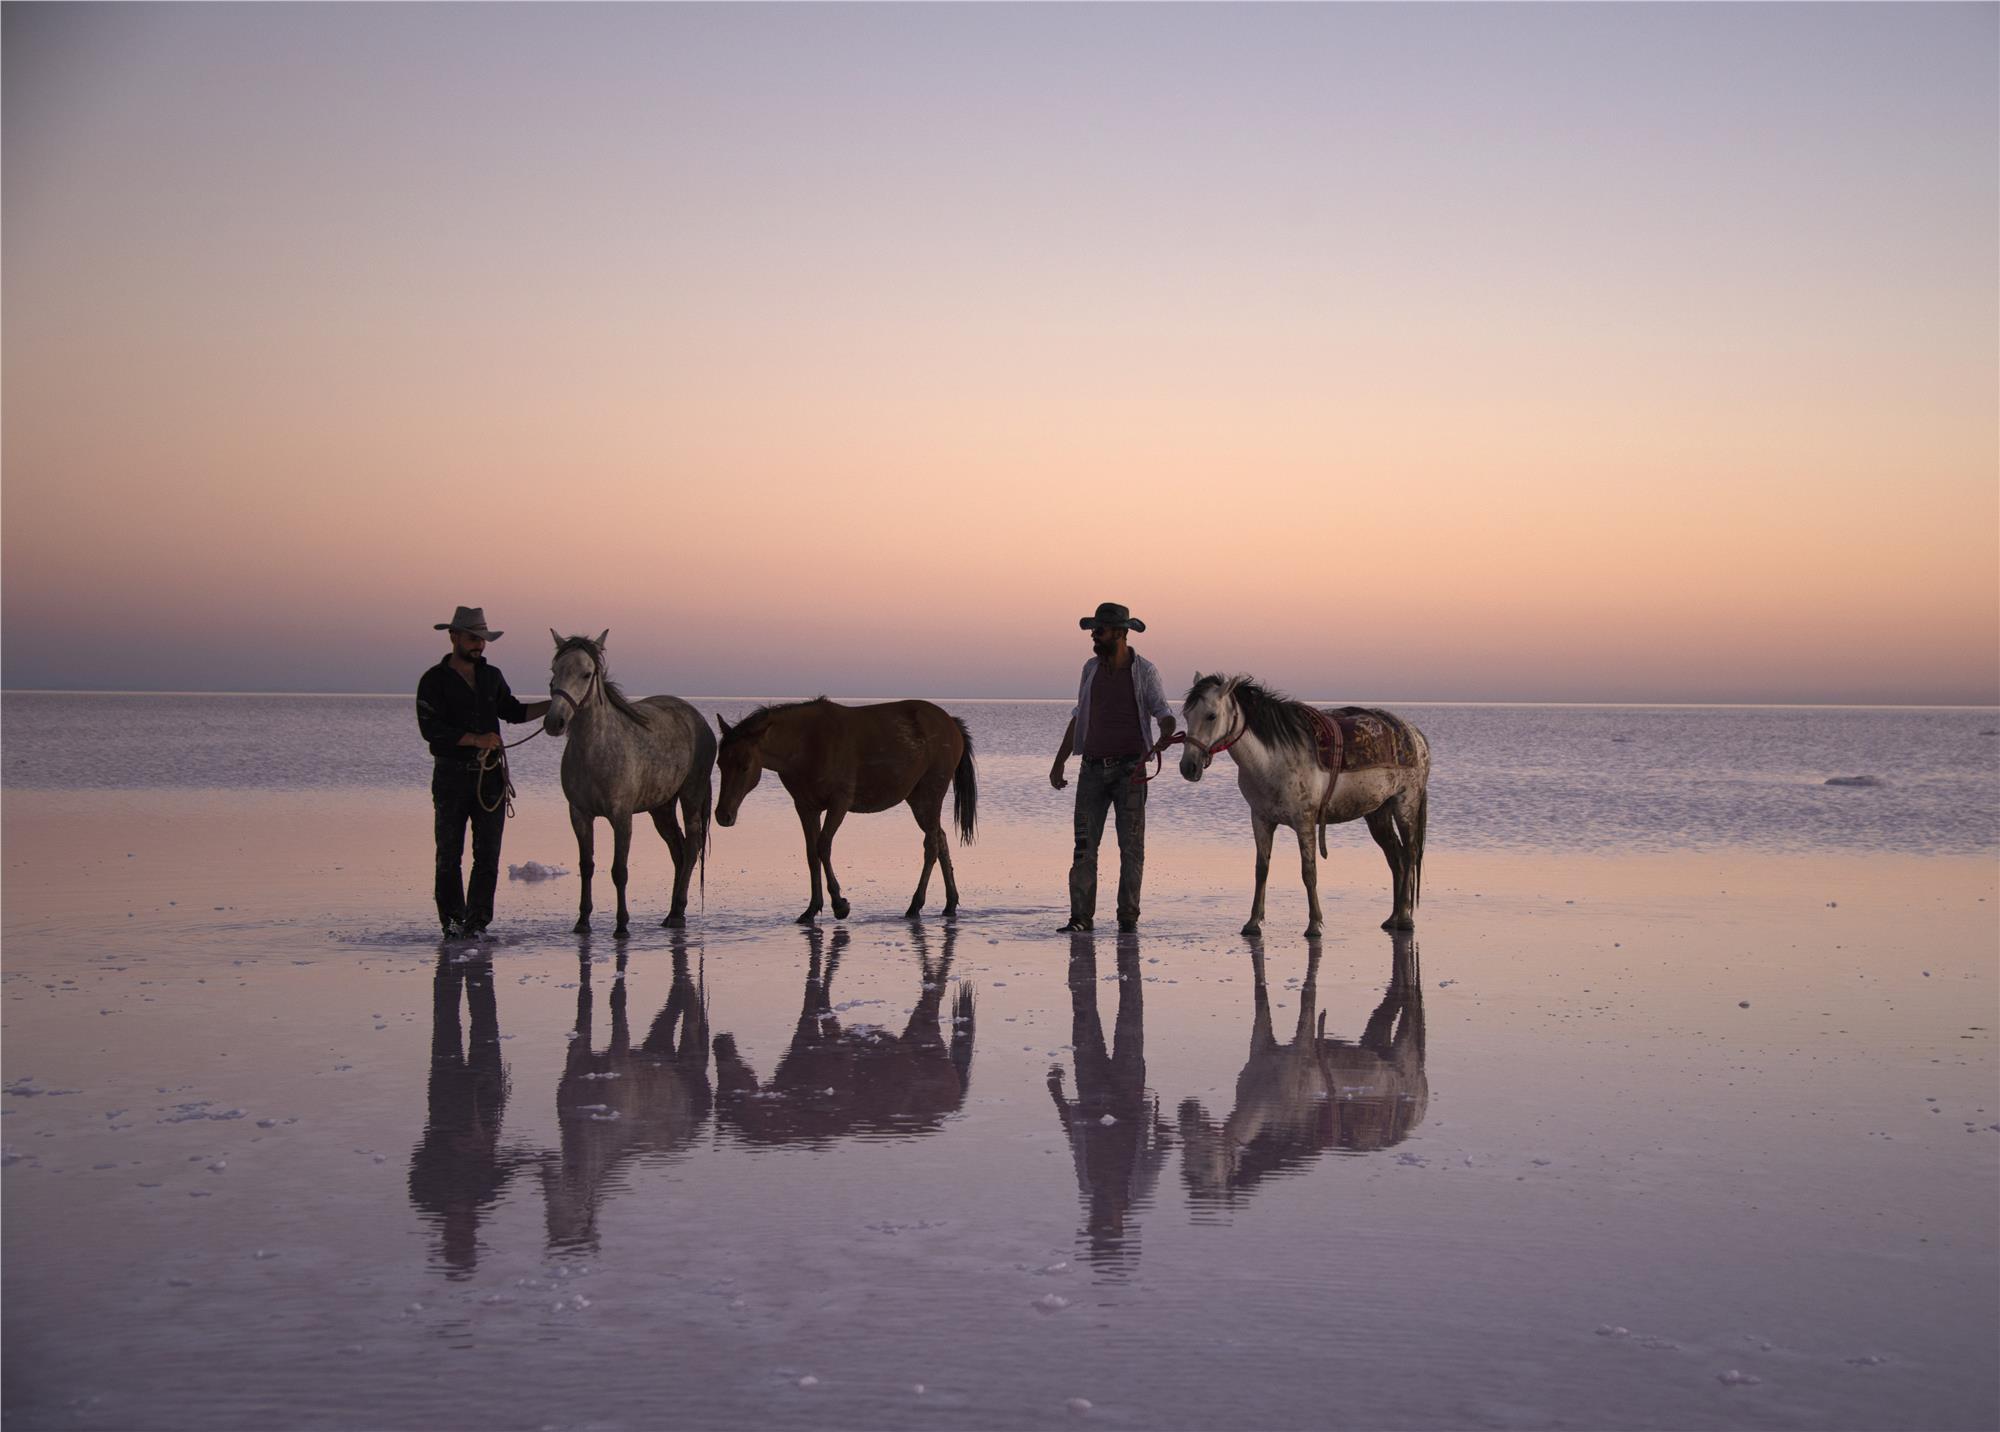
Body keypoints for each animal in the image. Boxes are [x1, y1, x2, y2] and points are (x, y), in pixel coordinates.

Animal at [544, 632, 716, 936]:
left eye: (586, 673)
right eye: (555, 671)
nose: (555, 721)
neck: (594, 751)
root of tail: (699, 720)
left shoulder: (621, 816)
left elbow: (619, 870)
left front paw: (622, 924)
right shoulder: (579, 814)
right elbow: (586, 866)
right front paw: (583, 921)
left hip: (691, 797)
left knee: (691, 848)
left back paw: (677, 912)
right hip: (661, 808)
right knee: (678, 850)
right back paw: (672, 912)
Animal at [720, 700, 976, 924]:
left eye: (745, 766)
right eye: (720, 763)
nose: (723, 815)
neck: (807, 742)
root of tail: (951, 723)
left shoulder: (839, 803)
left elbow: (823, 846)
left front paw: (839, 905)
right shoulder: (806, 807)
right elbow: (811, 854)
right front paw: (811, 910)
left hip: (929, 796)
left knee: (931, 845)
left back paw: (915, 906)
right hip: (918, 801)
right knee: (940, 839)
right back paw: (950, 904)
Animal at [1176, 676, 1432, 940]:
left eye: (1211, 716)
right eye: (1186, 714)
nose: (1188, 767)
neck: (1272, 759)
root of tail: (1416, 735)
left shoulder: (1305, 821)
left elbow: (1308, 872)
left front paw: (1314, 924)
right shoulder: (1261, 819)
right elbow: (1261, 869)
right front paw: (1253, 923)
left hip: (1405, 806)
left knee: (1409, 853)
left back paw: (1405, 919)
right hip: (1377, 813)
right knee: (1395, 857)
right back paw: (1393, 918)